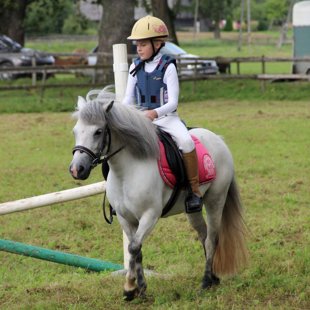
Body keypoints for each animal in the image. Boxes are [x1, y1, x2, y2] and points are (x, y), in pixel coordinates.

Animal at [69, 88, 247, 302]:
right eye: (75, 131)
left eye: (98, 131)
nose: (77, 169)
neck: (126, 171)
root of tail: (218, 139)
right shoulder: (125, 218)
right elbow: (135, 251)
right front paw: (139, 289)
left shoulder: (150, 215)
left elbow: (133, 247)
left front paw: (130, 287)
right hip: (193, 209)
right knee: (203, 235)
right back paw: (213, 279)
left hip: (215, 200)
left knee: (212, 238)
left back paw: (205, 282)